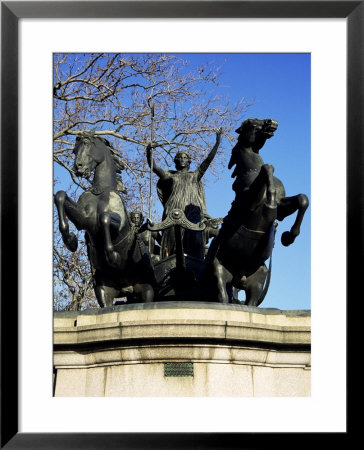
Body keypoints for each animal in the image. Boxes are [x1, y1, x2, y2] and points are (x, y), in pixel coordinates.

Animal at [54, 130, 154, 306]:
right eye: (74, 150)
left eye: (87, 144)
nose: (78, 167)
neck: (100, 192)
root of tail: (128, 289)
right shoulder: (84, 220)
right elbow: (60, 196)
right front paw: (70, 240)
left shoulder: (118, 223)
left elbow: (105, 218)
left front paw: (113, 257)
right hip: (103, 291)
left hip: (147, 290)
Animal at [206, 118, 308, 306]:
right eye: (252, 124)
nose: (272, 123)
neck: (251, 171)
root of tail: (239, 277)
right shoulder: (248, 202)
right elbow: (267, 169)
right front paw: (269, 207)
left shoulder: (283, 207)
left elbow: (302, 199)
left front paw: (288, 236)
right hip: (219, 272)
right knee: (223, 297)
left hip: (258, 281)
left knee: (250, 303)